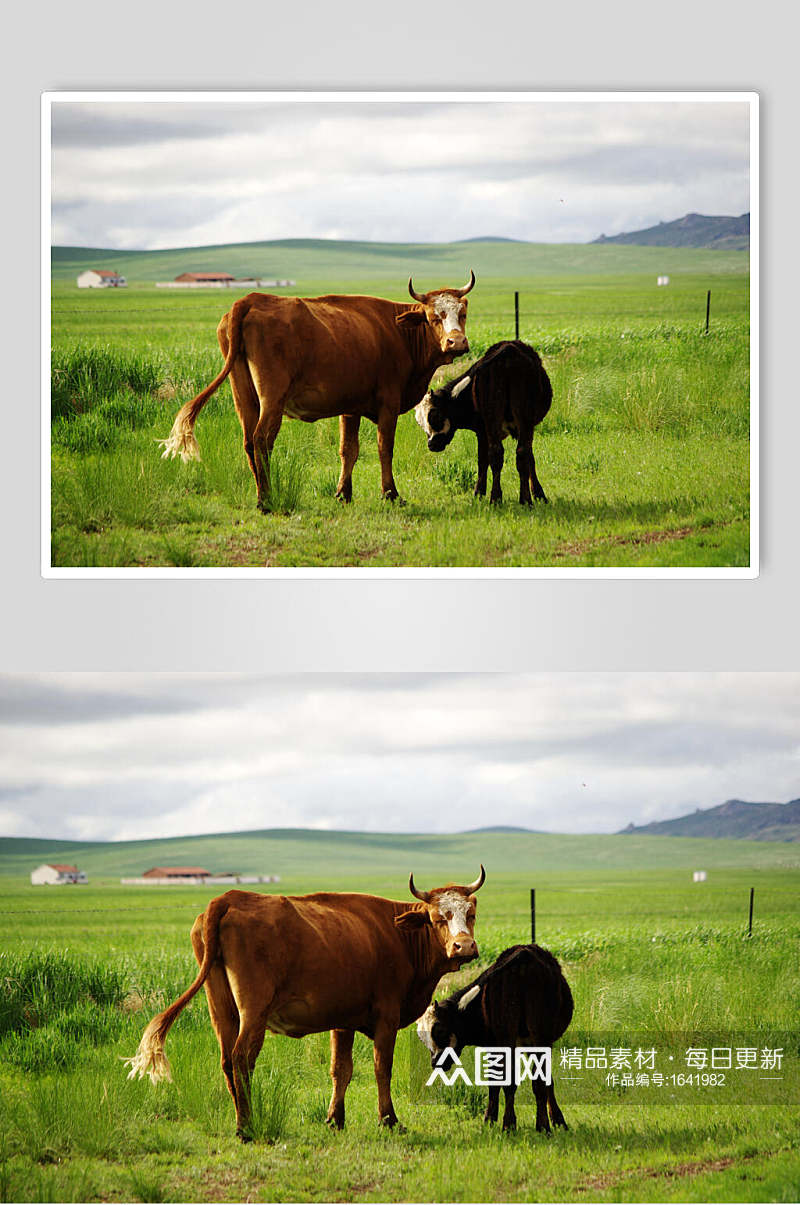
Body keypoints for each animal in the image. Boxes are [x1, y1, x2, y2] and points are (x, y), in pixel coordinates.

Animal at [125, 867, 486, 1137]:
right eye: (438, 917)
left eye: (471, 914)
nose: (464, 946)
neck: (399, 936)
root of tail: (229, 898)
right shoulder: (387, 1017)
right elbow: (382, 1068)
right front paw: (389, 1120)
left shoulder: (343, 1020)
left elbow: (341, 1069)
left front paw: (335, 1119)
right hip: (253, 1010)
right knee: (242, 1059)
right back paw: (246, 1127)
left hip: (222, 1009)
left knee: (227, 1060)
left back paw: (241, 1120)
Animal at [161, 274, 474, 508]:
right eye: (434, 317)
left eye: (463, 313)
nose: (457, 342)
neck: (398, 333)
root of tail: (250, 299)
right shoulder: (389, 403)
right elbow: (384, 448)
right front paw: (390, 494)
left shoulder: (351, 407)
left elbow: (348, 450)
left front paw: (343, 494)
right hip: (272, 398)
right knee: (262, 440)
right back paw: (267, 500)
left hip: (244, 396)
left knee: (249, 442)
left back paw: (262, 494)